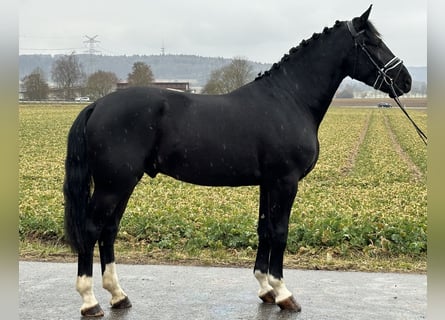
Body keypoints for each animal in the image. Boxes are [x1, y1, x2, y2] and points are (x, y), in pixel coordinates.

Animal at [63, 6, 410, 316]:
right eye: (372, 43)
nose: (404, 80)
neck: (288, 99)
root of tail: (96, 105)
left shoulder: (268, 183)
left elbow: (265, 229)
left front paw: (266, 289)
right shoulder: (285, 181)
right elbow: (280, 231)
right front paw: (284, 294)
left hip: (123, 183)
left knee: (108, 230)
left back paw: (118, 295)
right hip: (113, 184)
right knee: (92, 229)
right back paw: (90, 302)